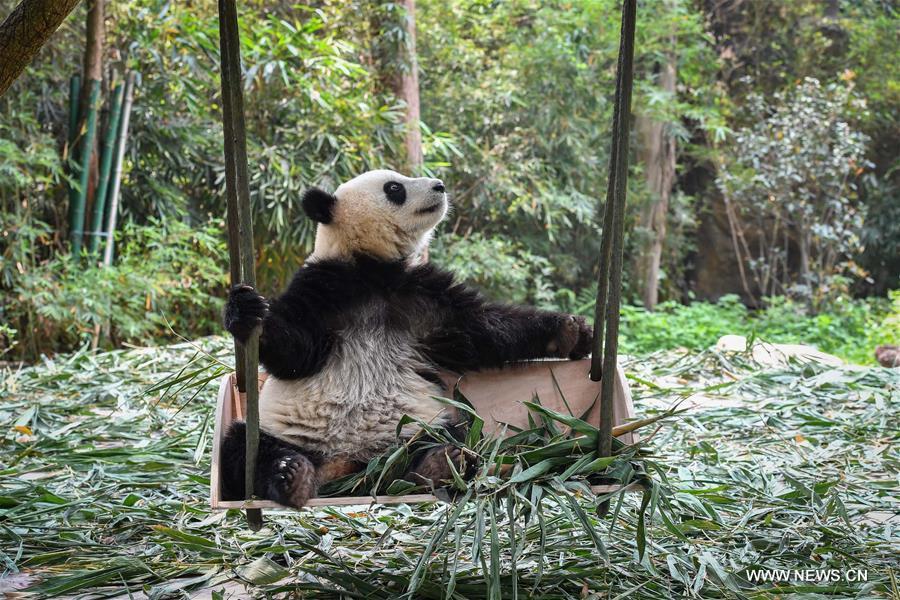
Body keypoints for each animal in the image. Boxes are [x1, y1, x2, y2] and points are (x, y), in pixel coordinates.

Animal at [221, 169, 593, 507]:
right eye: (394, 188)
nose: (439, 185)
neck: (373, 269)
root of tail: (350, 464)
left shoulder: (424, 297)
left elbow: (481, 329)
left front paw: (572, 331)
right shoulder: (323, 287)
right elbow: (294, 353)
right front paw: (247, 311)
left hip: (417, 425)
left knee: (444, 439)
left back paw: (438, 463)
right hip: (289, 432)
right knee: (244, 448)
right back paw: (290, 476)